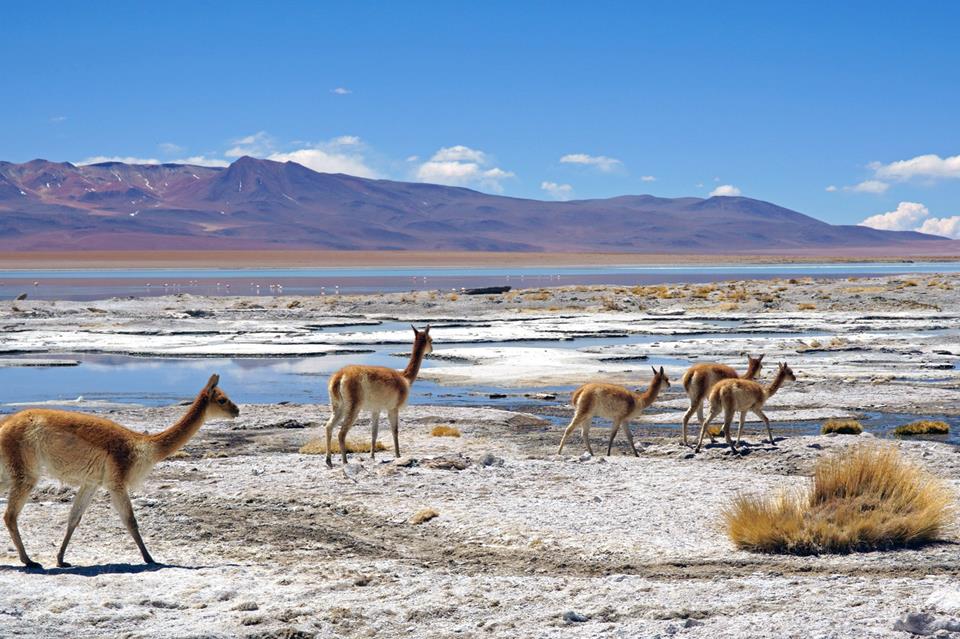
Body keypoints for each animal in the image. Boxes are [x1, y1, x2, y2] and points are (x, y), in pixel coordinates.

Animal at [0, 374, 238, 569]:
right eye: (222, 399)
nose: (237, 410)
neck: (143, 447)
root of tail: (5, 424)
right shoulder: (117, 481)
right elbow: (131, 520)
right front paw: (150, 558)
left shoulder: (92, 482)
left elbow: (74, 518)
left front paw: (61, 559)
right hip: (25, 471)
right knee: (10, 515)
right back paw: (28, 561)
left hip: (8, 471)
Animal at [323, 325, 432, 467]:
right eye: (431, 340)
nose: (431, 349)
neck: (405, 378)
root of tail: (339, 376)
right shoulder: (393, 408)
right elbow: (395, 430)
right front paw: (398, 455)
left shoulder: (376, 409)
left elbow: (374, 432)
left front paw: (372, 455)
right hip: (353, 405)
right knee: (341, 433)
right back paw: (345, 461)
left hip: (338, 405)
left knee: (328, 427)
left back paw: (329, 460)